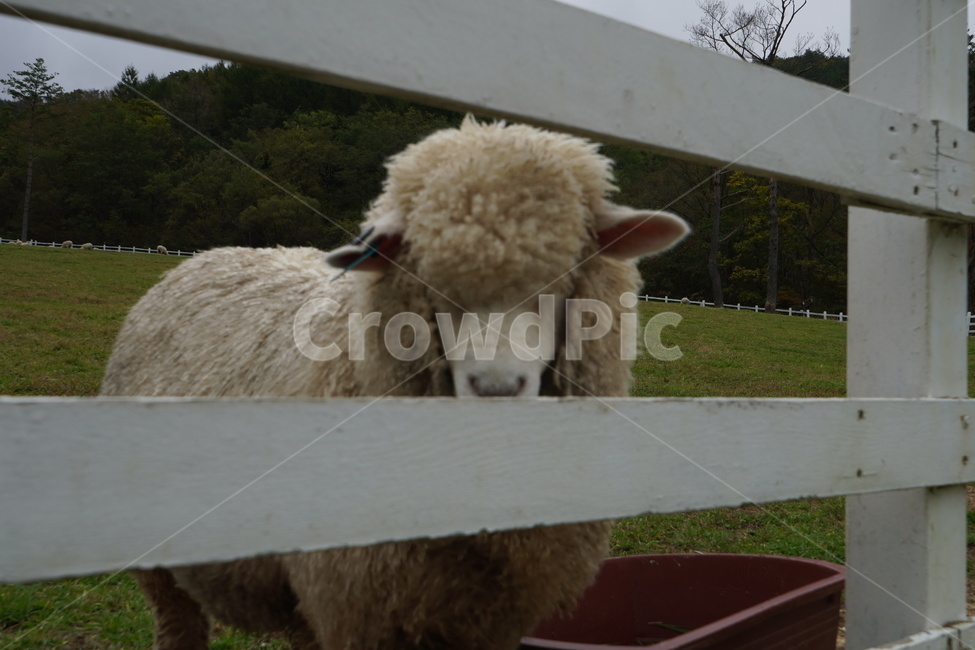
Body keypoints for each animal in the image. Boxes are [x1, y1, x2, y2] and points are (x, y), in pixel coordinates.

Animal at [100, 117, 690, 650]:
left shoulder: (493, 616)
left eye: (565, 274)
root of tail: (204, 257)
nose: (496, 392)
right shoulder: (359, 605)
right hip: (163, 565)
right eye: (429, 281)